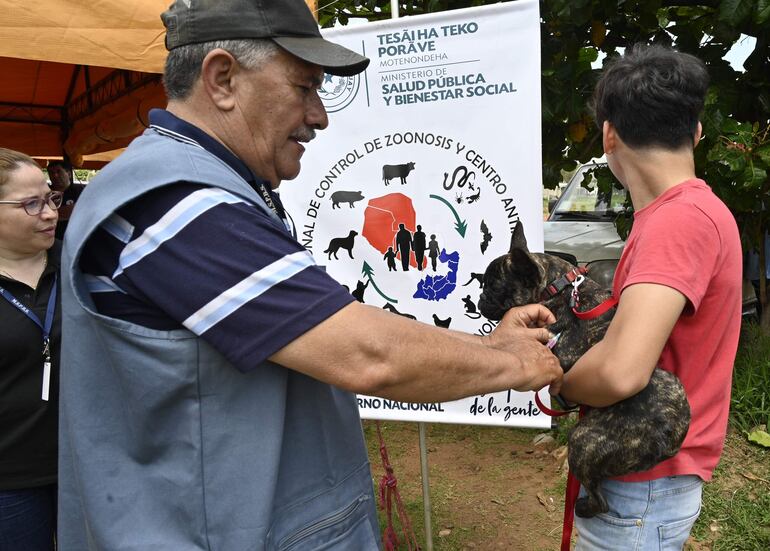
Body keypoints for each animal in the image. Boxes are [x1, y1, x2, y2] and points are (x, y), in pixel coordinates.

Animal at [476, 223, 688, 516]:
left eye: (495, 287)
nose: (480, 298)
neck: (556, 288)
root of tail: (670, 437)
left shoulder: (560, 349)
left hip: (583, 440)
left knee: (602, 501)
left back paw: (583, 507)